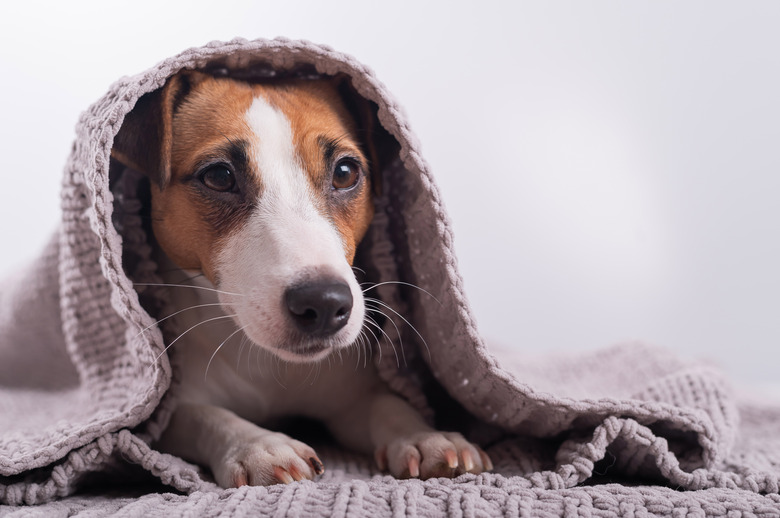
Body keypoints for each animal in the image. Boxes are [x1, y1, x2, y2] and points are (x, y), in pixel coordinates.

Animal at [110, 71, 494, 490]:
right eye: (219, 176)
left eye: (345, 172)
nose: (324, 303)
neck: (271, 366)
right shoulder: (163, 415)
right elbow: (205, 416)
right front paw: (259, 445)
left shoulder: (350, 401)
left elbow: (390, 406)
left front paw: (426, 436)